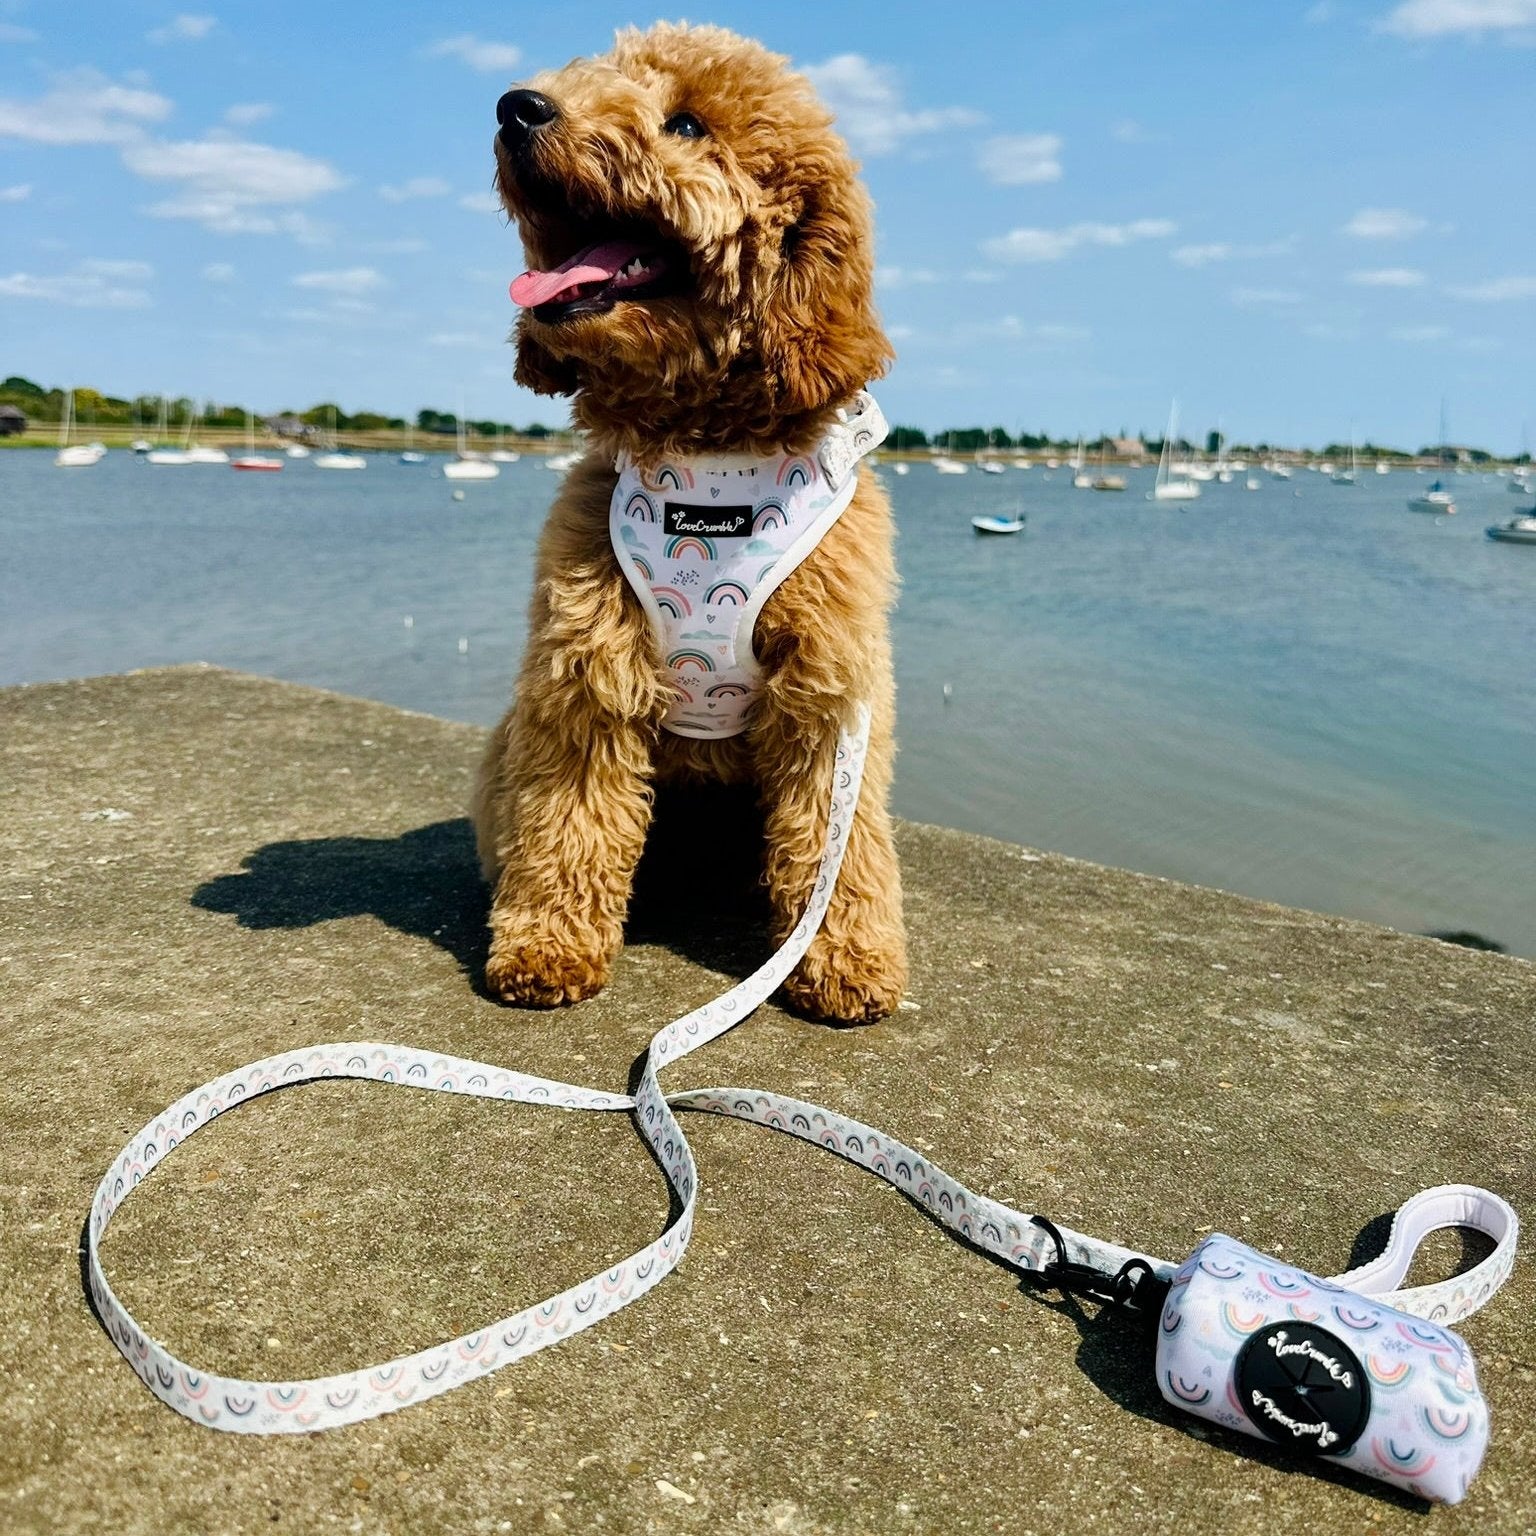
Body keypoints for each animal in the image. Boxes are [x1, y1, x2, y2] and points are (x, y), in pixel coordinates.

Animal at [466, 21, 897, 1019]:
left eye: (689, 123)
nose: (517, 107)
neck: (707, 464)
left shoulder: (831, 688)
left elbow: (840, 836)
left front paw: (843, 959)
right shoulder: (586, 666)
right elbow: (568, 814)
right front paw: (547, 946)